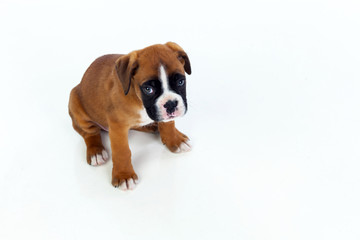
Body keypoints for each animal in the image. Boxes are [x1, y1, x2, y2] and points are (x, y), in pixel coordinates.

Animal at [67, 41, 191, 191]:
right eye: (148, 89)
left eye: (180, 82)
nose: (171, 104)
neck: (139, 99)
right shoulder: (118, 128)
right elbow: (122, 152)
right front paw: (124, 175)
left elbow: (168, 125)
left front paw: (175, 140)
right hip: (76, 103)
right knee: (89, 133)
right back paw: (96, 151)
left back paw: (152, 126)